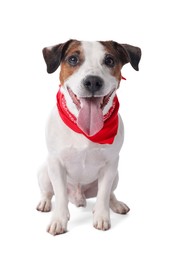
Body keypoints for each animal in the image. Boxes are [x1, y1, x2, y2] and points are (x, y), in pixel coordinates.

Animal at [36, 39, 142, 236]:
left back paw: (116, 204)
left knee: (109, 194)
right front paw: (58, 220)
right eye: (73, 59)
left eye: (109, 60)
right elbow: (59, 194)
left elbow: (103, 194)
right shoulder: (55, 163)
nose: (93, 81)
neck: (84, 130)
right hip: (44, 172)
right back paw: (45, 203)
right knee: (48, 191)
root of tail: (79, 197)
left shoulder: (110, 164)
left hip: (116, 175)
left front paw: (101, 217)